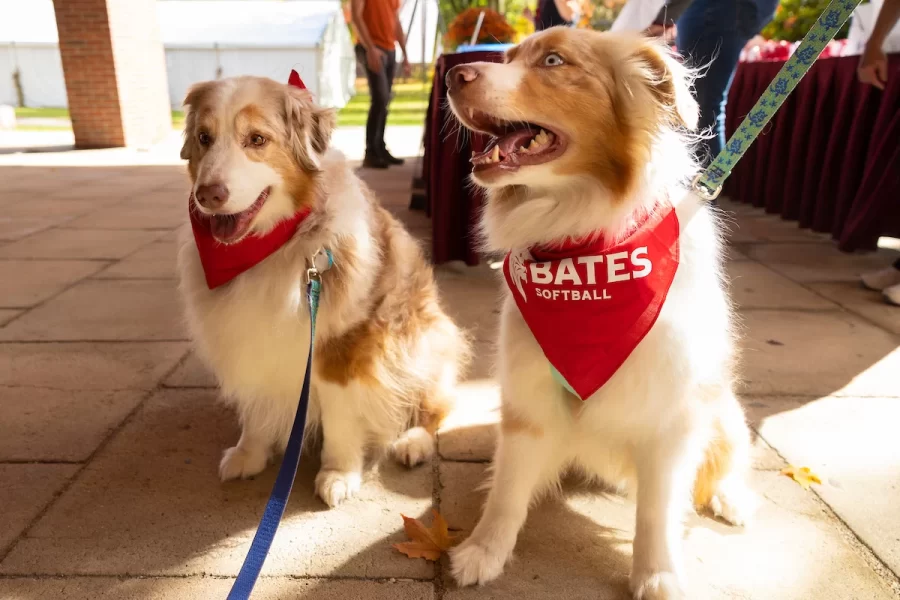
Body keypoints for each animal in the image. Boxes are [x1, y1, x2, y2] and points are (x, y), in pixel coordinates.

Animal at [176, 75, 472, 506]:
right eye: (204, 137)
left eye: (257, 139)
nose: (208, 194)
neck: (270, 246)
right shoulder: (251, 337)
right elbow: (255, 404)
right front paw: (250, 453)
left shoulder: (344, 347)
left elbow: (340, 418)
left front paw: (338, 474)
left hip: (418, 344)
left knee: (434, 408)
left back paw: (412, 443)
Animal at [444, 25, 752, 596]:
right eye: (509, 56)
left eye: (554, 61)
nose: (453, 74)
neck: (580, 243)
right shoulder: (529, 397)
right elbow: (508, 492)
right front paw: (483, 552)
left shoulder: (672, 415)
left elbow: (658, 509)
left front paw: (657, 574)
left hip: (721, 406)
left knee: (728, 459)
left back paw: (732, 498)